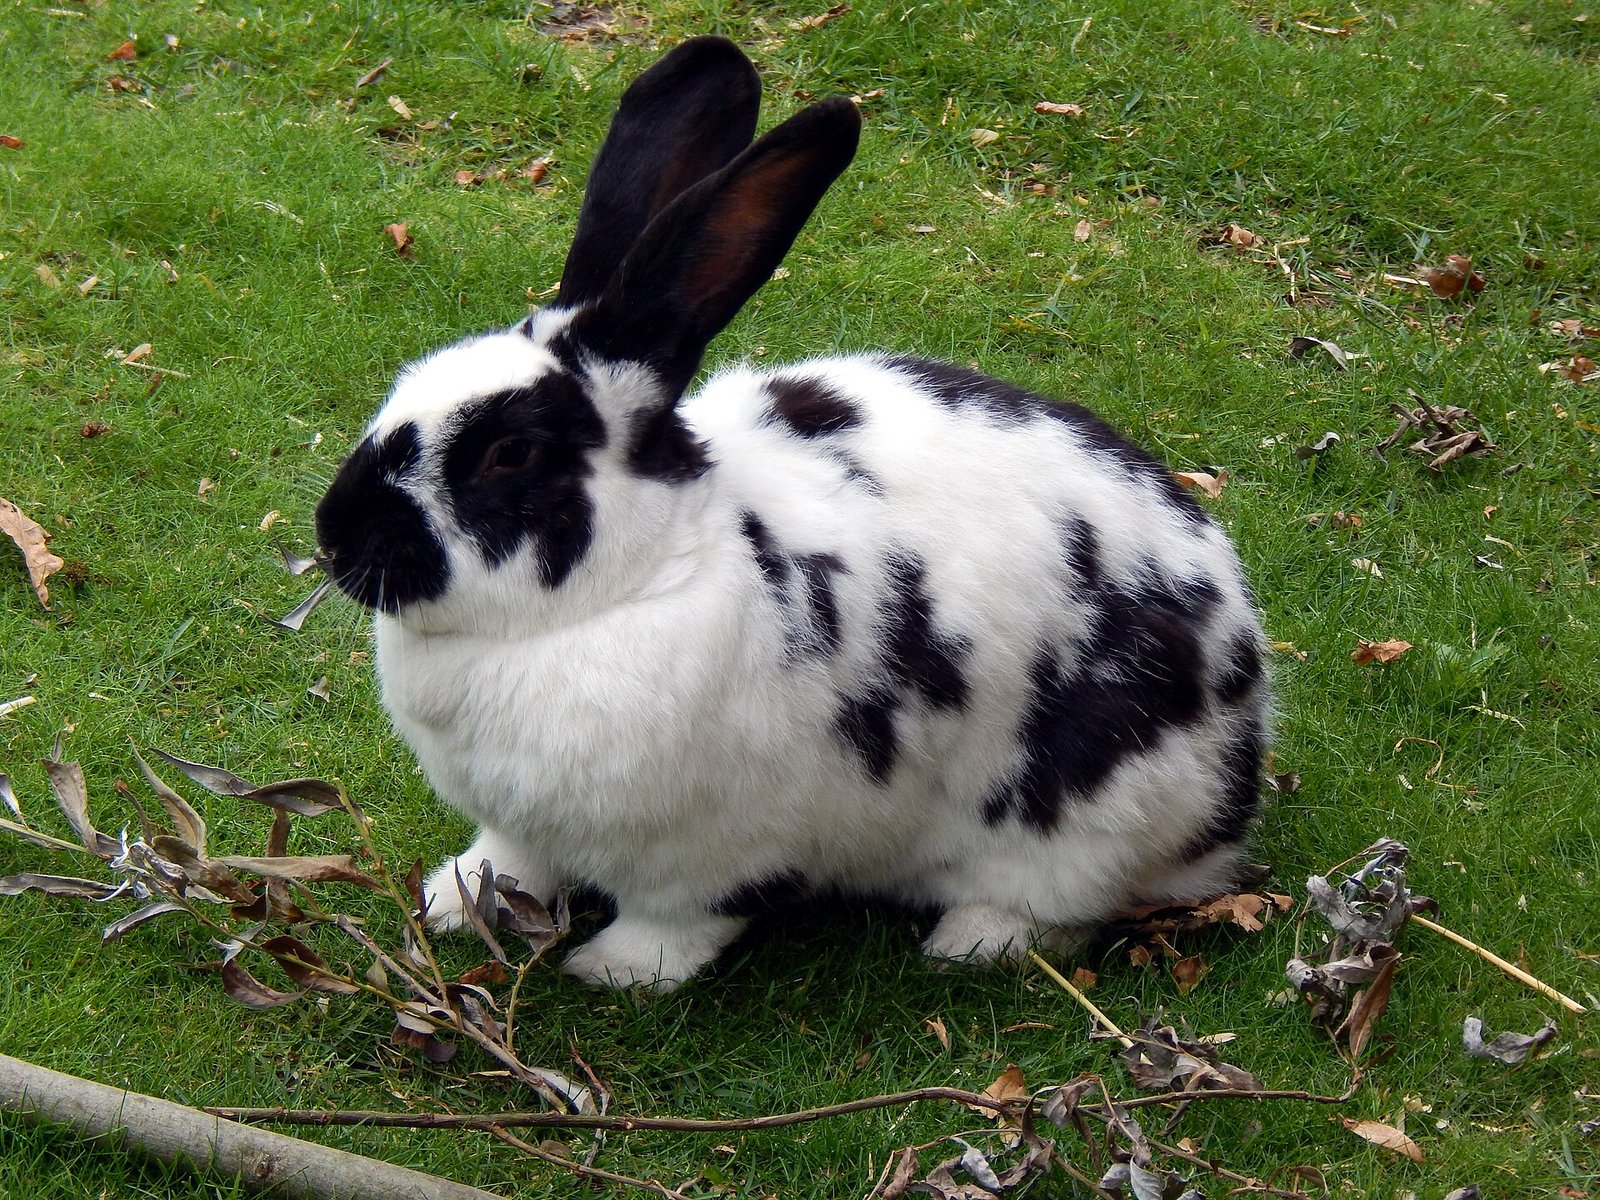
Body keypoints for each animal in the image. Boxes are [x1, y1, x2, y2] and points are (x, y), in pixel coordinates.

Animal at [313, 35, 1270, 991]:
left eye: (509, 455)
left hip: (1085, 818)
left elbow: (674, 925)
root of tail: (1243, 746)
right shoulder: (521, 824)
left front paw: (611, 970)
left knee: (1056, 906)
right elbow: (509, 860)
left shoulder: (711, 856)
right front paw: (455, 901)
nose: (335, 537)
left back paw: (967, 941)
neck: (625, 590)